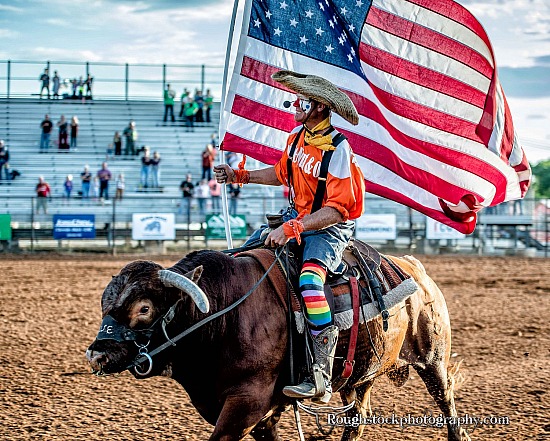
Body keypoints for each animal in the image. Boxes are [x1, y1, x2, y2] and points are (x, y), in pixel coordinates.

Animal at [85, 249, 470, 438]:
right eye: (105, 303)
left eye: (144, 308)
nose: (97, 354)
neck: (224, 314)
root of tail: (416, 270)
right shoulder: (259, 414)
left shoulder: (247, 405)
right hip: (359, 376)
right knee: (356, 419)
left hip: (432, 358)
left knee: (446, 402)